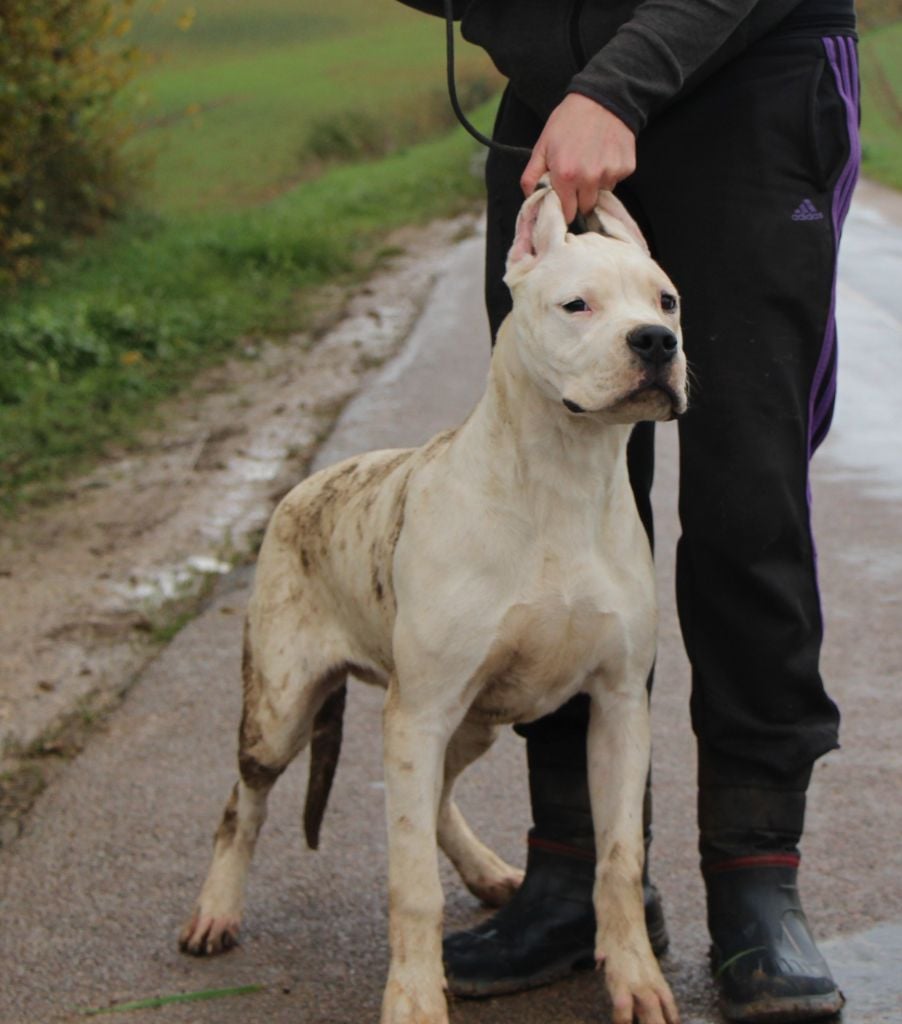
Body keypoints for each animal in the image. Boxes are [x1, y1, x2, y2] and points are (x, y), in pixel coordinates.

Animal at [179, 184, 687, 1024]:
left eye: (667, 300)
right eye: (576, 304)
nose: (655, 342)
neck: (564, 479)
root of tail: (306, 487)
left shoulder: (618, 707)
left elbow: (616, 857)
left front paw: (636, 979)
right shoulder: (419, 712)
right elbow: (411, 884)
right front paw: (415, 999)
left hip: (468, 720)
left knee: (439, 798)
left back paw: (486, 872)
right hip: (283, 710)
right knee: (241, 806)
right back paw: (215, 910)